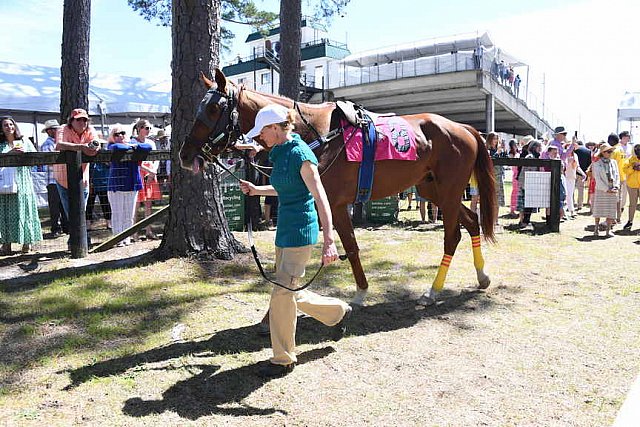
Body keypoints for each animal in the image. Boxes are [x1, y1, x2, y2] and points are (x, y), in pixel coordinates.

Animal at [178, 70, 498, 306]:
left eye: (214, 107)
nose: (185, 154)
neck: (319, 133)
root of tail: (464, 128)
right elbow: (350, 247)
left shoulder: (334, 203)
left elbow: (352, 247)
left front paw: (360, 292)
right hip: (433, 191)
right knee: (472, 223)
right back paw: (482, 276)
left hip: (449, 191)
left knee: (453, 236)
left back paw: (433, 291)